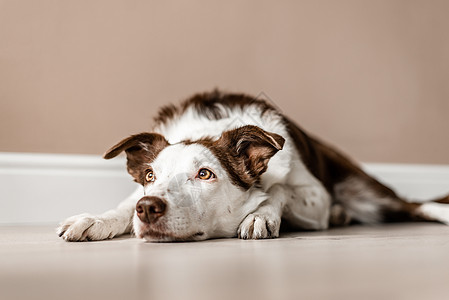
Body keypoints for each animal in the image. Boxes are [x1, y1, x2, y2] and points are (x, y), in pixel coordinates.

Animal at [56, 91, 448, 241]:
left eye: (205, 174)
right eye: (150, 176)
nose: (148, 208)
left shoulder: (316, 197)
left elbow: (279, 187)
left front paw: (261, 215)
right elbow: (123, 206)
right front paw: (95, 220)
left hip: (366, 192)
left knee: (414, 205)